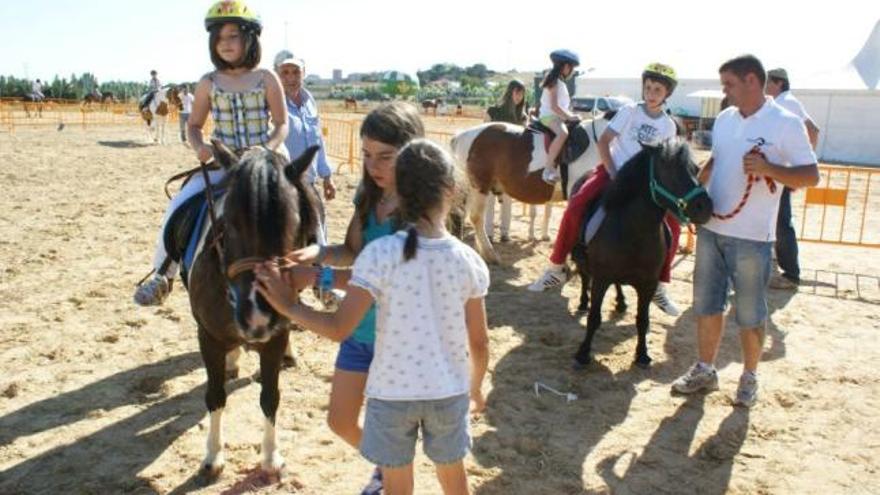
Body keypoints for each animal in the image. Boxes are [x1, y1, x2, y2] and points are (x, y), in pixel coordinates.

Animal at [572, 141, 716, 370]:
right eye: (668, 169)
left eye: (695, 169)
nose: (705, 207)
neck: (634, 231)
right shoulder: (602, 278)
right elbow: (594, 317)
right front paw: (583, 353)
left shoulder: (648, 283)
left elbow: (643, 320)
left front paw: (642, 355)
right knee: (585, 276)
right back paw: (583, 302)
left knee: (617, 284)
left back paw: (621, 302)